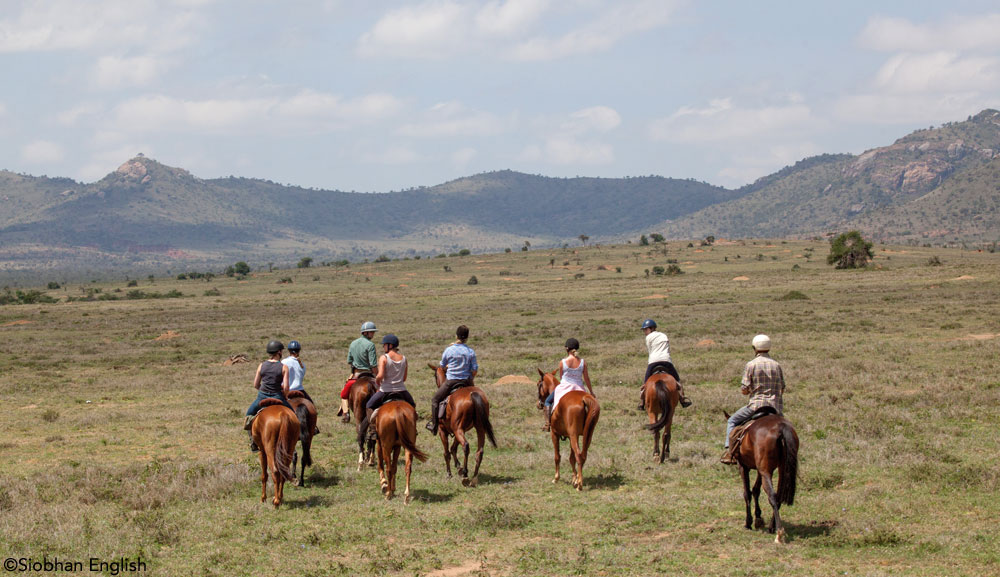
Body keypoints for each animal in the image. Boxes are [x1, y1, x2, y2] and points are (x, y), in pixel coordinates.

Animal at [728, 412, 796, 544]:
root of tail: (780, 427)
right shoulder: (760, 469)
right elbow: (756, 490)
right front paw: (758, 518)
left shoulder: (743, 467)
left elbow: (747, 493)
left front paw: (748, 522)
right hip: (781, 469)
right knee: (778, 495)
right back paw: (772, 527)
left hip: (765, 471)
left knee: (772, 496)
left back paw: (779, 534)